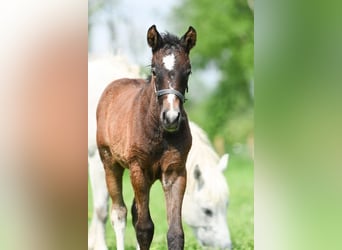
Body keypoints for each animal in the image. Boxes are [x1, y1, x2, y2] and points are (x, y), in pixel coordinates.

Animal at [88, 54, 232, 248]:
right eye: (207, 210)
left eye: (226, 205)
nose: (226, 246)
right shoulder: (98, 161)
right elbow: (102, 209)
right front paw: (98, 245)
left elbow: (138, 214)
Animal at [96, 25, 196, 250]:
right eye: (154, 71)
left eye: (188, 71)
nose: (171, 117)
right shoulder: (138, 168)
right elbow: (144, 228)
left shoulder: (175, 171)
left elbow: (175, 233)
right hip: (110, 163)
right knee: (119, 213)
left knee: (133, 211)